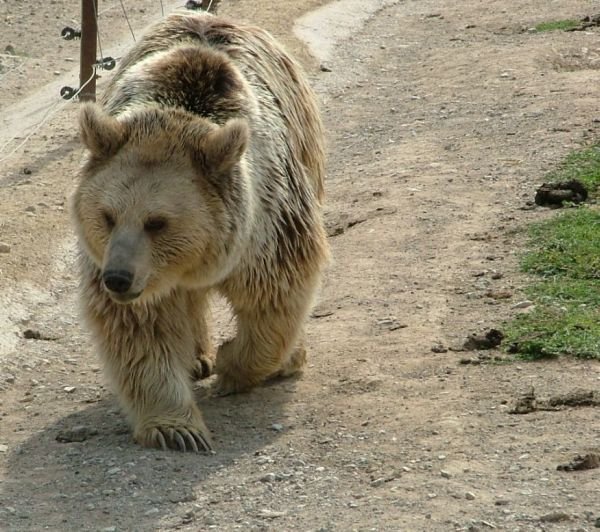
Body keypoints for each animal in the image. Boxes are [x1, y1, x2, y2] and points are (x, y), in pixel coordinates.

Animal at [72, 10, 330, 454]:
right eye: (107, 216)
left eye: (157, 221)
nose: (117, 278)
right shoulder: (123, 264)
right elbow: (141, 330)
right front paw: (177, 428)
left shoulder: (265, 226)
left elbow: (277, 298)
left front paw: (234, 365)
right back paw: (195, 356)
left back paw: (285, 359)